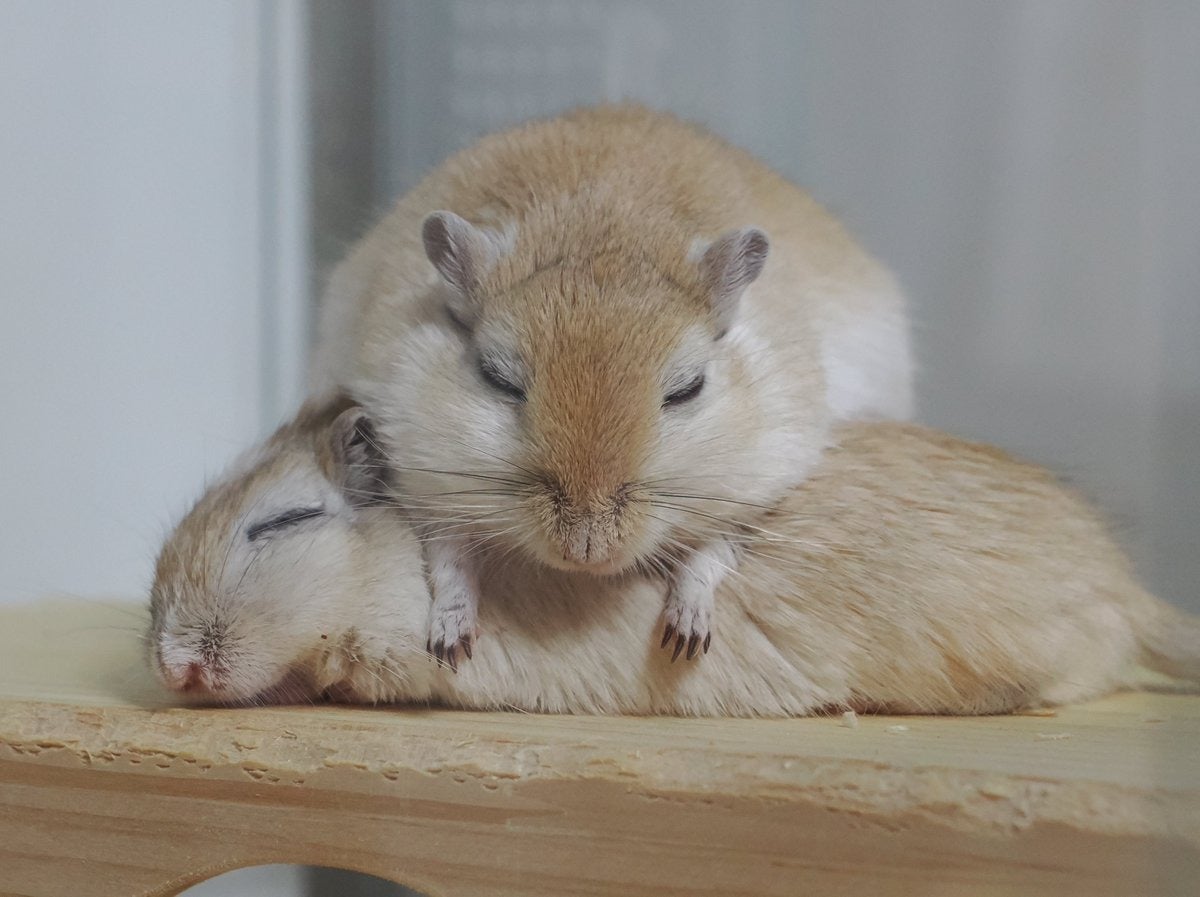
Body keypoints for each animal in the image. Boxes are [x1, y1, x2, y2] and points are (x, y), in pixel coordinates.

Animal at [313, 104, 914, 663]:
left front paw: (684, 640)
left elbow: (707, 557)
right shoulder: (429, 485)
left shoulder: (747, 493)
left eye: (687, 388)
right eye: (497, 378)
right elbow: (448, 562)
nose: (587, 552)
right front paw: (449, 647)